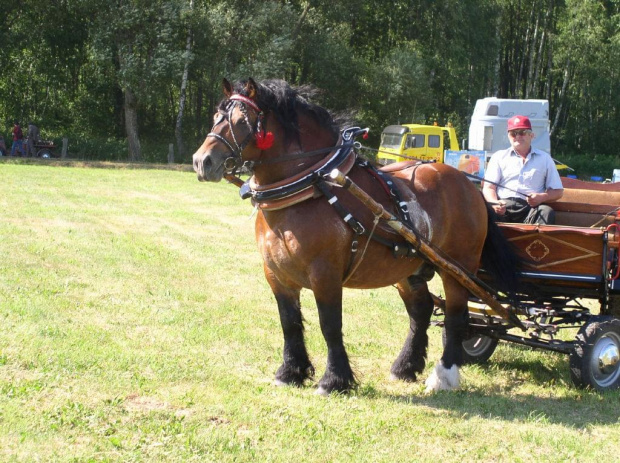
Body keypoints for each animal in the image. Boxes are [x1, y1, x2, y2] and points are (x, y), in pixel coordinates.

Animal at [194, 79, 520, 396]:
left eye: (242, 121)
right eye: (216, 117)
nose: (201, 161)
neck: (308, 188)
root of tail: (467, 184)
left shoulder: (325, 274)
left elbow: (329, 324)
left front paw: (334, 380)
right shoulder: (276, 274)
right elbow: (289, 323)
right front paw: (289, 373)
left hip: (458, 268)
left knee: (456, 315)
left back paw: (445, 375)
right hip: (409, 268)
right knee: (422, 310)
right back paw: (405, 366)